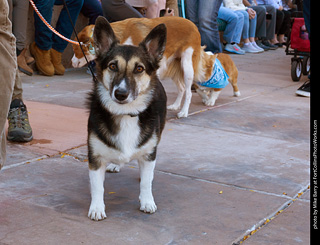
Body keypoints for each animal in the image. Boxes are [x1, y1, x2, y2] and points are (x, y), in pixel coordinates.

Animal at [73, 16, 240, 117]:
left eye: (76, 48)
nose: (72, 62)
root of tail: (193, 24)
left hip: (186, 66)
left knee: (188, 91)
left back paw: (184, 111)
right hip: (174, 67)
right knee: (182, 88)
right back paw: (175, 105)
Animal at [87, 16, 168, 221]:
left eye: (139, 69)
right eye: (112, 66)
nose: (120, 94)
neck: (125, 113)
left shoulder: (149, 153)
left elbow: (146, 182)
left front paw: (147, 201)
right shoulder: (95, 158)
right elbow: (97, 186)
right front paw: (97, 208)